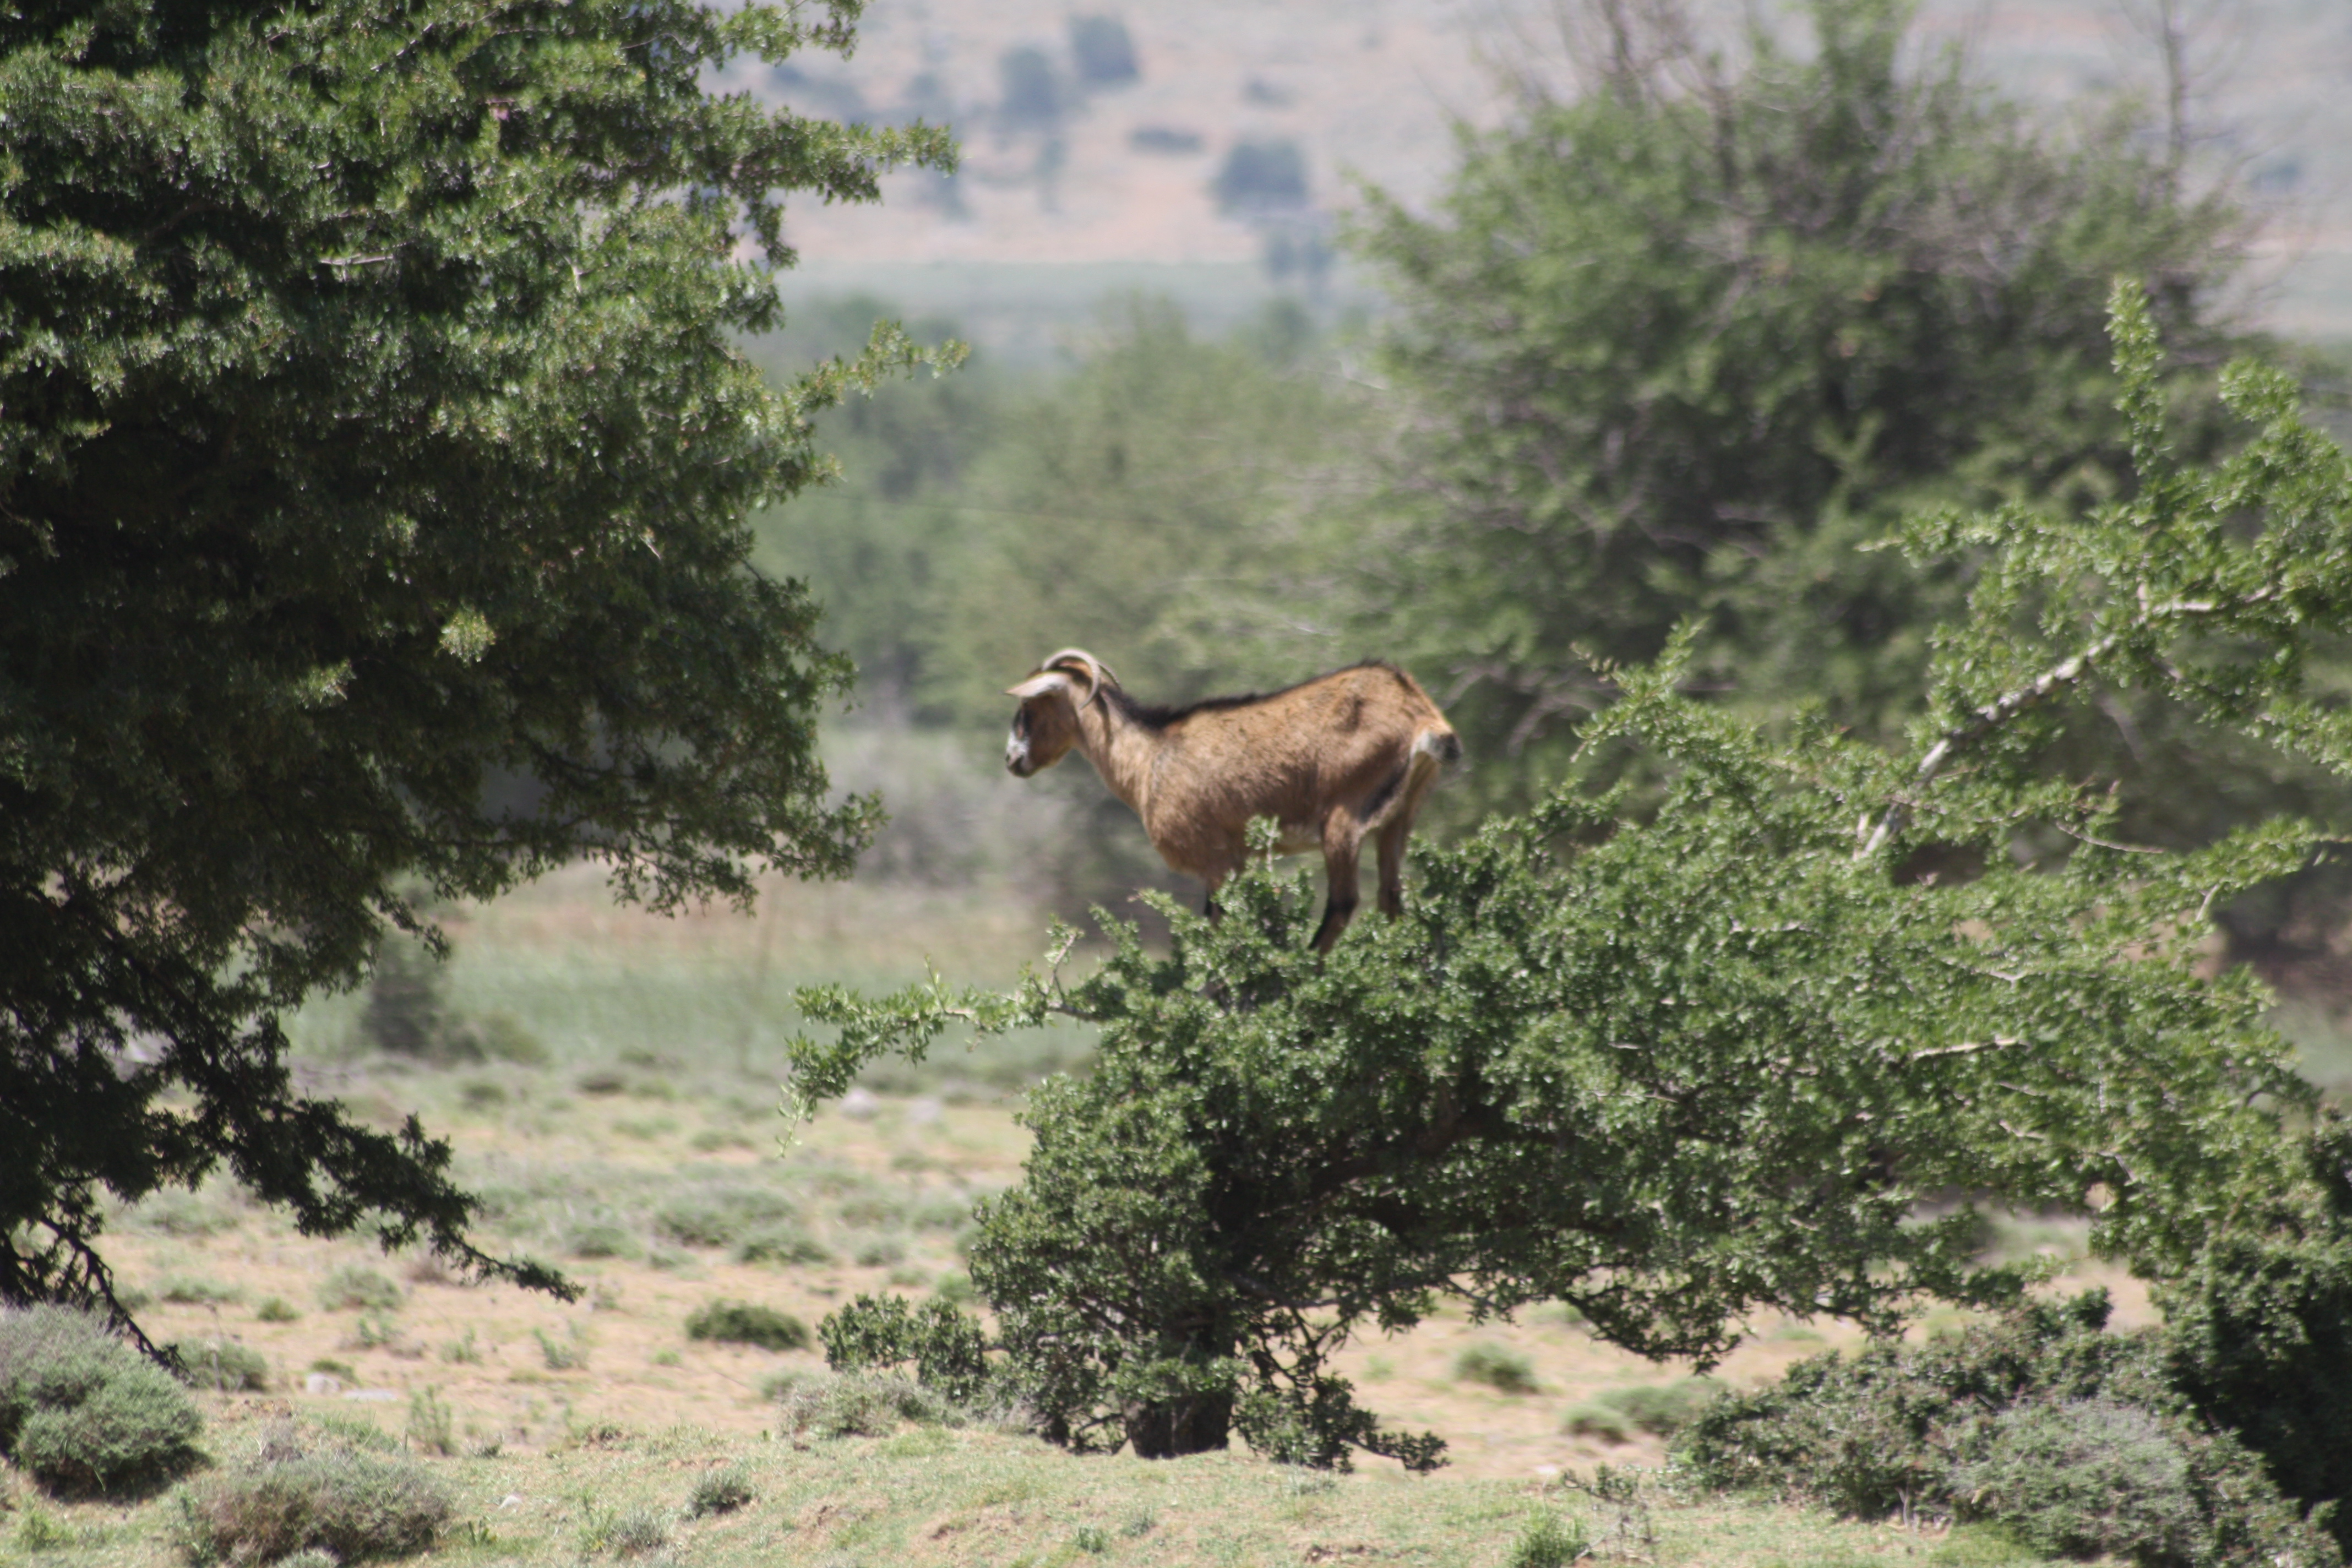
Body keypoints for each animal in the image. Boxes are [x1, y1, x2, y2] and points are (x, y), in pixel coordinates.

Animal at [1003, 648, 1462, 952]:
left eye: (1031, 704)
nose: (1012, 759)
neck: (1151, 756)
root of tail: (1420, 715)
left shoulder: (1216, 859)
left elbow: (1216, 931)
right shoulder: (1237, 862)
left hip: (1343, 818)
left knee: (1344, 903)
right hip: (1399, 819)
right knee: (1391, 899)